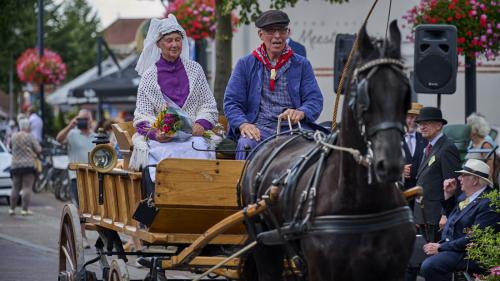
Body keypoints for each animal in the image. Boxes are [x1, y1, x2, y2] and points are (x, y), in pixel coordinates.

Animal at [240, 21, 416, 280]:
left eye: (405, 92)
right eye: (363, 94)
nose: (391, 164)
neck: (363, 204)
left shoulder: (394, 270)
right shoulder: (322, 270)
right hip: (264, 248)